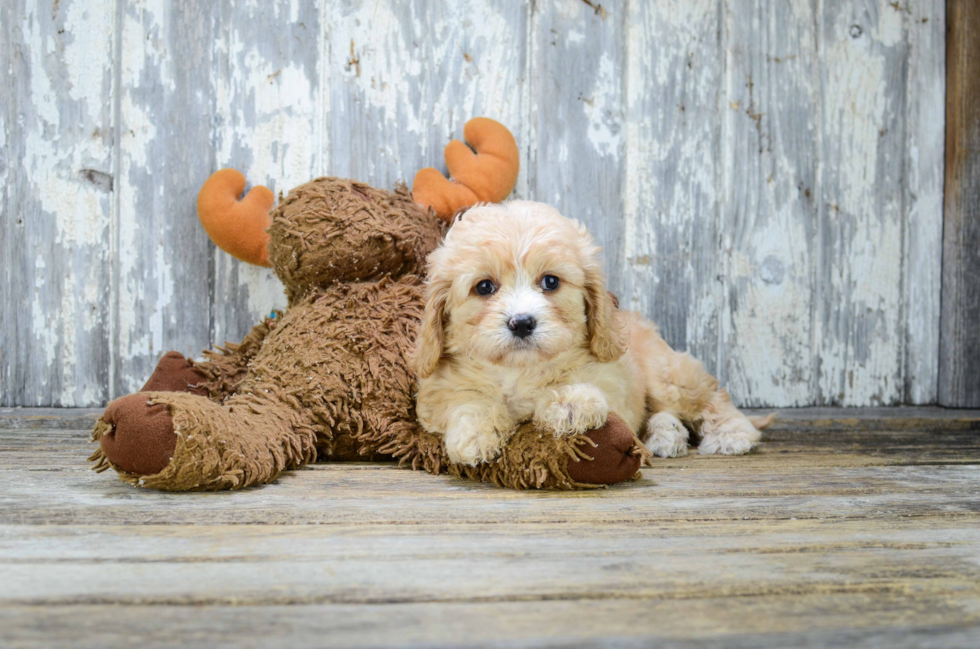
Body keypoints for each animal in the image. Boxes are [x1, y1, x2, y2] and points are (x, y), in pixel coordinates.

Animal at [414, 200, 772, 464]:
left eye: (550, 282)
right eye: (484, 287)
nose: (522, 322)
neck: (521, 370)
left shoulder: (614, 383)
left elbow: (590, 392)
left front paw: (569, 404)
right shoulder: (437, 391)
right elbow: (466, 400)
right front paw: (474, 433)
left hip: (666, 375)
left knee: (709, 396)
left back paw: (732, 434)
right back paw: (667, 434)